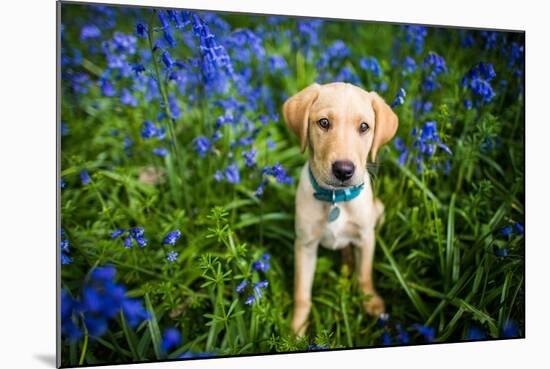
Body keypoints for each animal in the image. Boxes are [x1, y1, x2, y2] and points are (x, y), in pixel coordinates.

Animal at [284, 82, 396, 334]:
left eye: (364, 127)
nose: (344, 170)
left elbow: (365, 274)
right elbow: (302, 293)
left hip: (379, 210)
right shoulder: (305, 245)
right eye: (324, 123)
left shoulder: (366, 237)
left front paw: (371, 302)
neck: (336, 199)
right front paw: (296, 330)